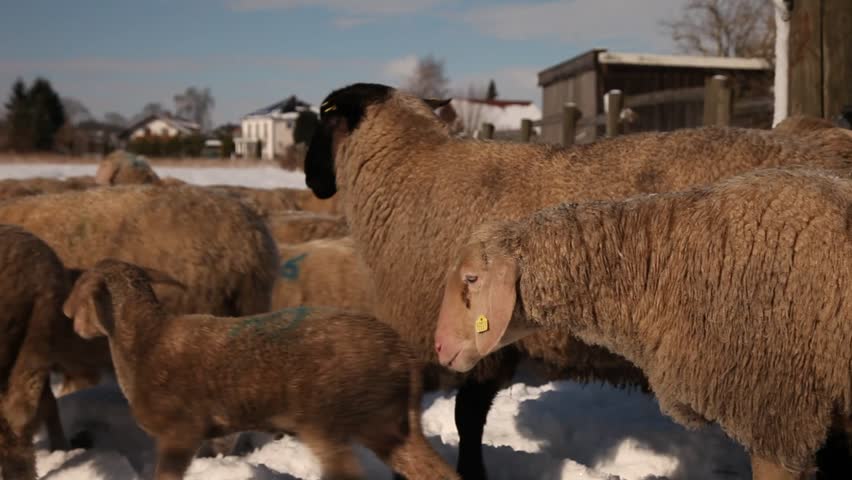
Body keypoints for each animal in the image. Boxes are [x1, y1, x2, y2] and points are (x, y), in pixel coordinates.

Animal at [62, 259, 460, 480]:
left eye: (81, 287)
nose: (69, 318)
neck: (145, 341)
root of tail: (403, 358)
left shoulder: (181, 431)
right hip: (389, 426)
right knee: (435, 472)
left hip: (329, 419)